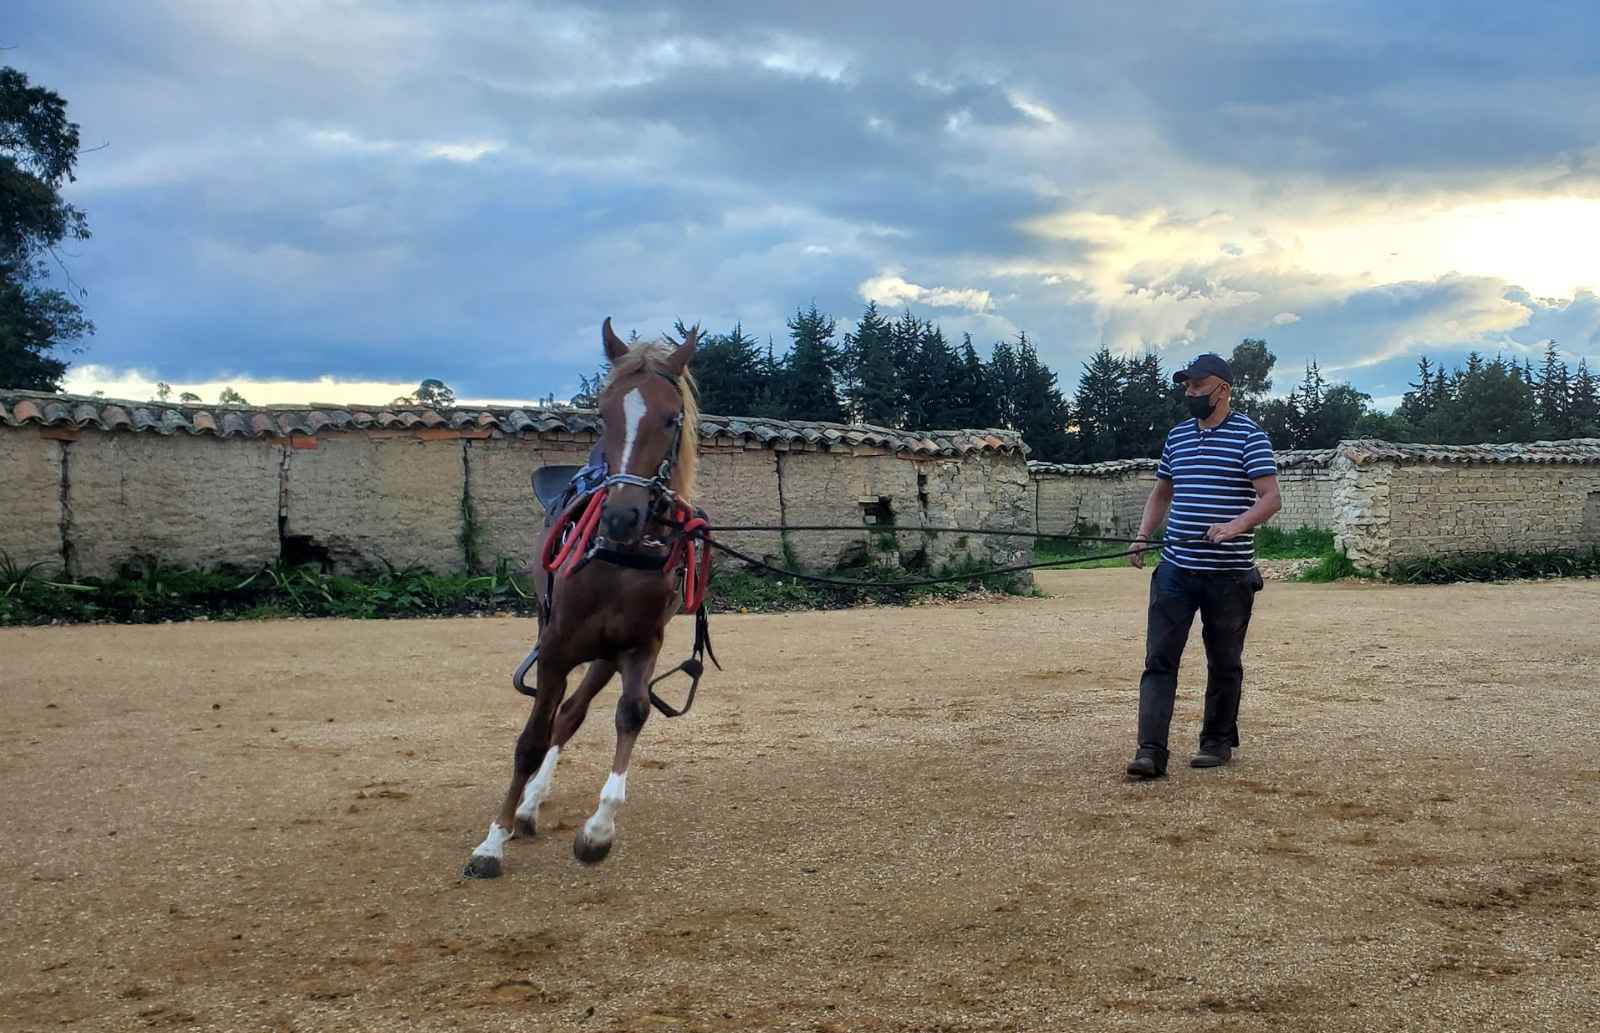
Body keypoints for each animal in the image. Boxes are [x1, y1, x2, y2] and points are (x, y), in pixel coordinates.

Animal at [464, 318, 704, 877]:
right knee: (554, 718)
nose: (620, 516)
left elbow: (630, 714)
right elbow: (530, 740)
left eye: (671, 418)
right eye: (603, 413)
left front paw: (598, 830)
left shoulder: (640, 645)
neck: (618, 561)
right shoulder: (555, 648)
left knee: (571, 712)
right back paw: (524, 807)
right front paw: (492, 842)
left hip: (605, 655)